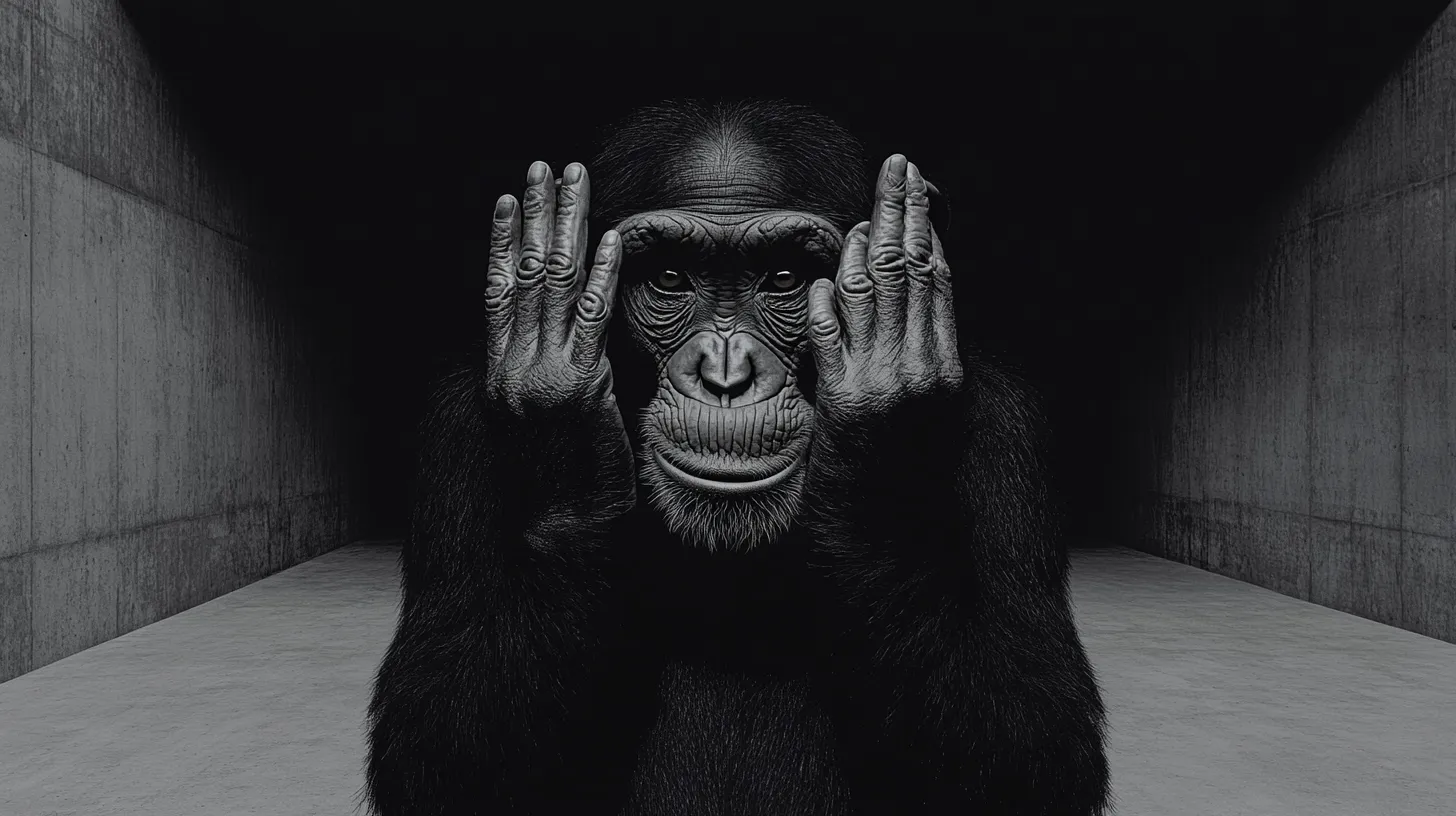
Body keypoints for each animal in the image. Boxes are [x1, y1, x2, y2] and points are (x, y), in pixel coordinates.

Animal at [365, 99, 1110, 816]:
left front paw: (883, 401)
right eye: (669, 277)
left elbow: (1032, 743)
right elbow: (442, 747)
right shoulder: (454, 429)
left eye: (782, 278)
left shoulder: (1009, 429)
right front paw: (556, 405)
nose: (726, 373)